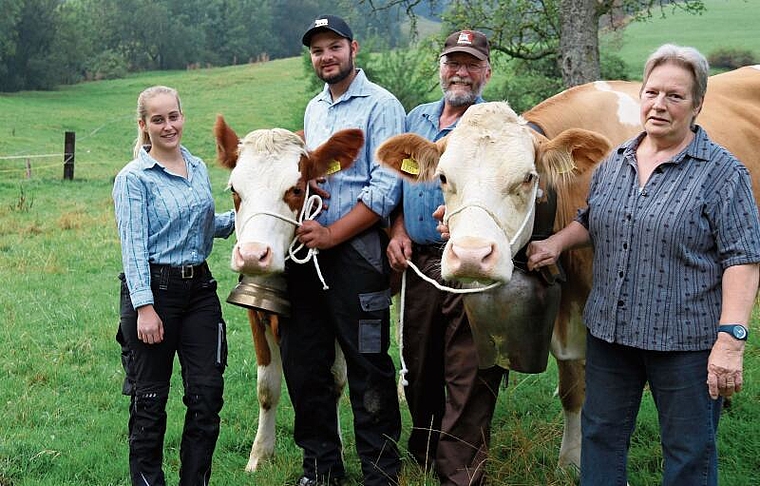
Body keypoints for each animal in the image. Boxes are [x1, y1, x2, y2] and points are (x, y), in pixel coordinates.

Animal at [212, 116, 364, 472]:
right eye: (235, 190)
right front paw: (259, 455)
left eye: (295, 189)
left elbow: (335, 382)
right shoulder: (255, 311)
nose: (253, 255)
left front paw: (336, 447)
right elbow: (267, 388)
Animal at [378, 62, 760, 472]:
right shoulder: (564, 312)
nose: (471, 256)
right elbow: (572, 389)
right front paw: (571, 461)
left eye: (528, 177)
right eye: (444, 177)